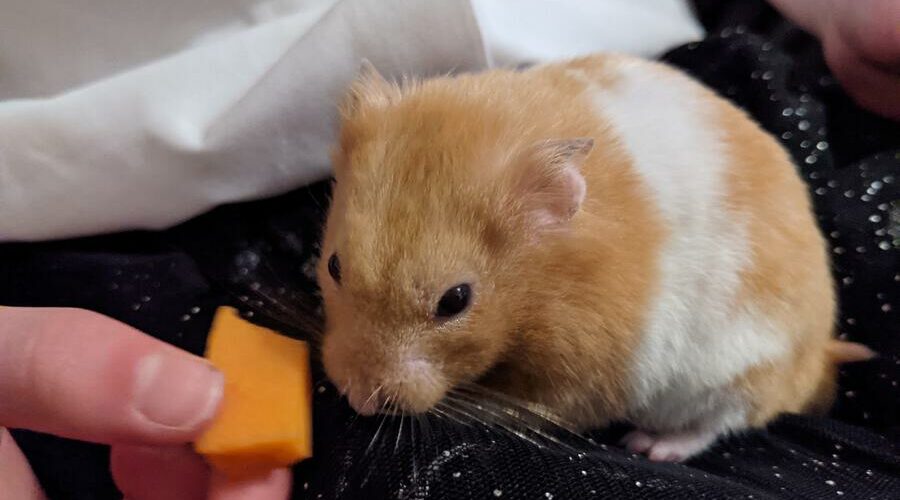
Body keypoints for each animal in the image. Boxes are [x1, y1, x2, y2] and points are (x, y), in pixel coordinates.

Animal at [317, 55, 874, 462]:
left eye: (455, 300)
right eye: (333, 266)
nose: (356, 399)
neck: (538, 293)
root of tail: (819, 352)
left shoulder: (587, 376)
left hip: (737, 373)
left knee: (718, 424)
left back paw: (651, 447)